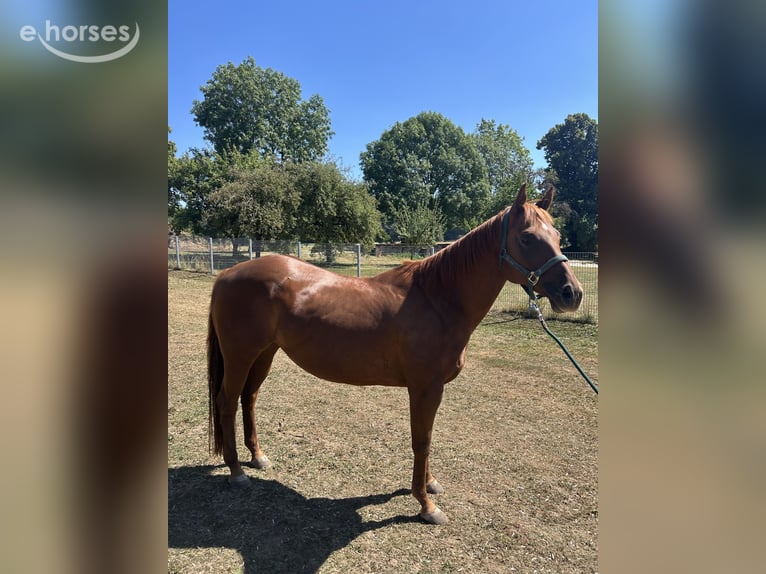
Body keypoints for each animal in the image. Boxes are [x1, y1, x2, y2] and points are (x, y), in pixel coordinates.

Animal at [207, 184, 582, 525]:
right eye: (527, 238)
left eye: (557, 234)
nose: (572, 294)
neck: (437, 299)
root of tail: (228, 273)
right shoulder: (425, 388)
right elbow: (423, 440)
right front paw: (426, 505)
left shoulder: (429, 389)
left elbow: (426, 439)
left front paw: (429, 485)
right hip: (241, 355)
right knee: (227, 400)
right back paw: (237, 470)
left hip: (264, 353)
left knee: (249, 398)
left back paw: (258, 457)